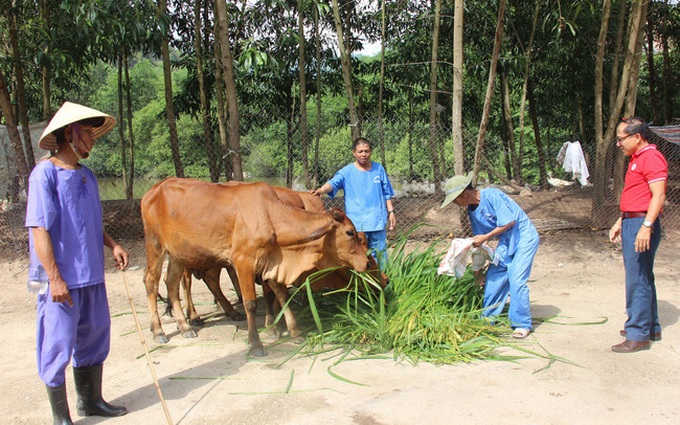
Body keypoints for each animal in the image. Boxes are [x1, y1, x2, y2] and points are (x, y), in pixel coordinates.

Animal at [140, 177, 370, 356]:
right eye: (350, 232)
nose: (367, 263)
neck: (269, 214)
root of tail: (152, 190)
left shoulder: (271, 262)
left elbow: (281, 294)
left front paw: (294, 331)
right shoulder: (243, 261)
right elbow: (251, 303)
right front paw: (256, 343)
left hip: (178, 253)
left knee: (171, 283)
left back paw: (184, 326)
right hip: (155, 245)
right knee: (151, 281)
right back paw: (159, 330)